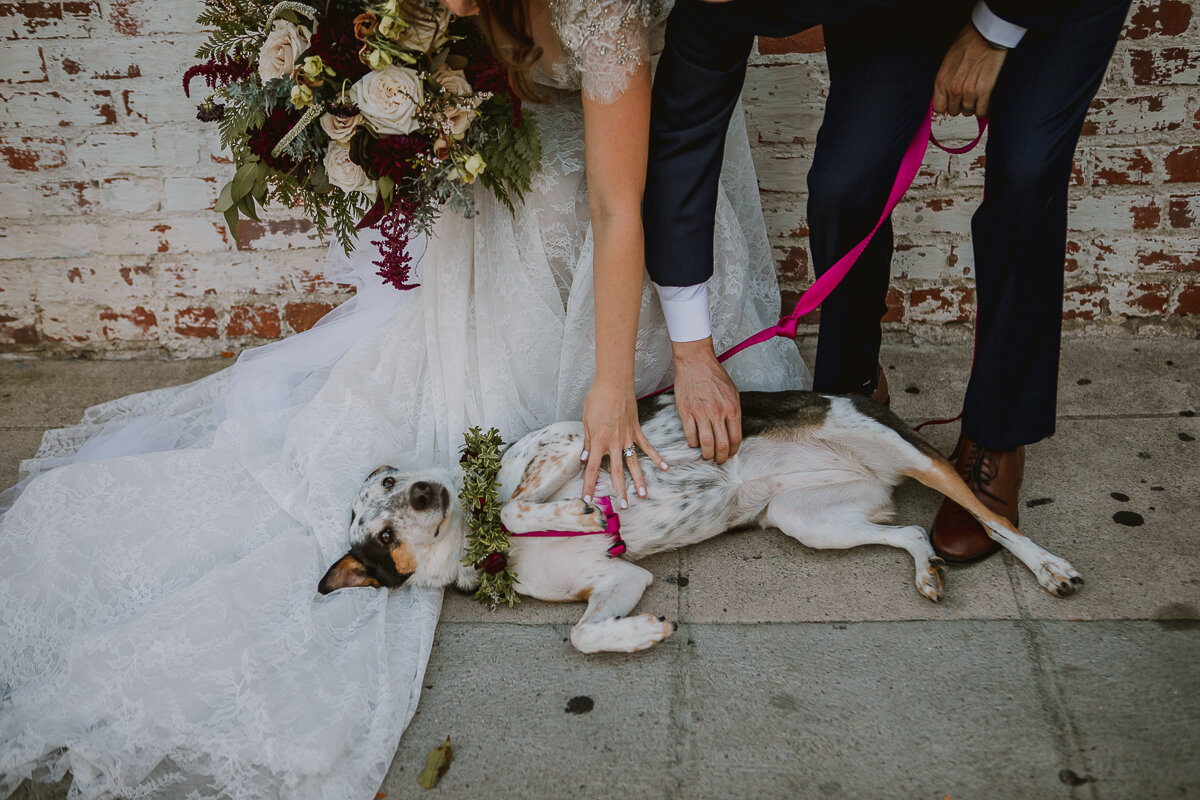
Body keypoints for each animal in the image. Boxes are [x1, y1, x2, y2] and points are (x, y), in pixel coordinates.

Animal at [316, 391, 1080, 652]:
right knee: (911, 531)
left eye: (389, 484)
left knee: (993, 518)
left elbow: (512, 497)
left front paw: (577, 508)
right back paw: (927, 572)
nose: (423, 492)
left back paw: (1050, 568)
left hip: (910, 456)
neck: (485, 545)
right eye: (381, 536)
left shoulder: (570, 440)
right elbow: (582, 633)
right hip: (811, 521)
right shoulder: (618, 578)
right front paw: (644, 633)